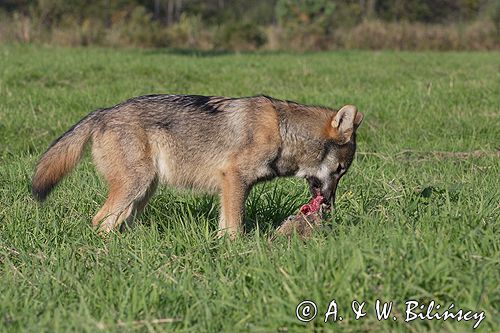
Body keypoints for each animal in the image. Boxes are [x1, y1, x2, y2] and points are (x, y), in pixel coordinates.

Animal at [32, 93, 364, 235]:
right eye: (339, 171)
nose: (330, 204)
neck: (283, 132)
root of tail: (102, 112)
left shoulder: (233, 187)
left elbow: (226, 225)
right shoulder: (233, 180)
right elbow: (234, 229)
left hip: (144, 191)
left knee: (117, 222)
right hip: (135, 186)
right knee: (100, 220)